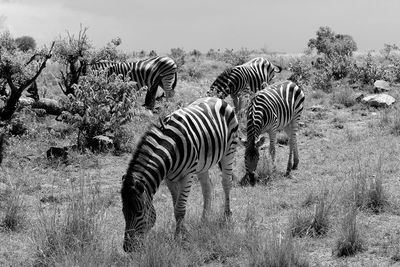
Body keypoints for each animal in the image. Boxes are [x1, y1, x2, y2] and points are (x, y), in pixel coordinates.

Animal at [120, 97, 239, 252]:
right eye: (123, 212)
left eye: (139, 213)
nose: (127, 248)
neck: (171, 149)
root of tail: (217, 98)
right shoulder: (169, 178)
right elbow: (175, 206)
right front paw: (183, 232)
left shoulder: (187, 175)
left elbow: (180, 209)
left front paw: (178, 238)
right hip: (203, 164)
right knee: (207, 188)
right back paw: (204, 220)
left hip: (229, 151)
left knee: (226, 183)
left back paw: (227, 216)